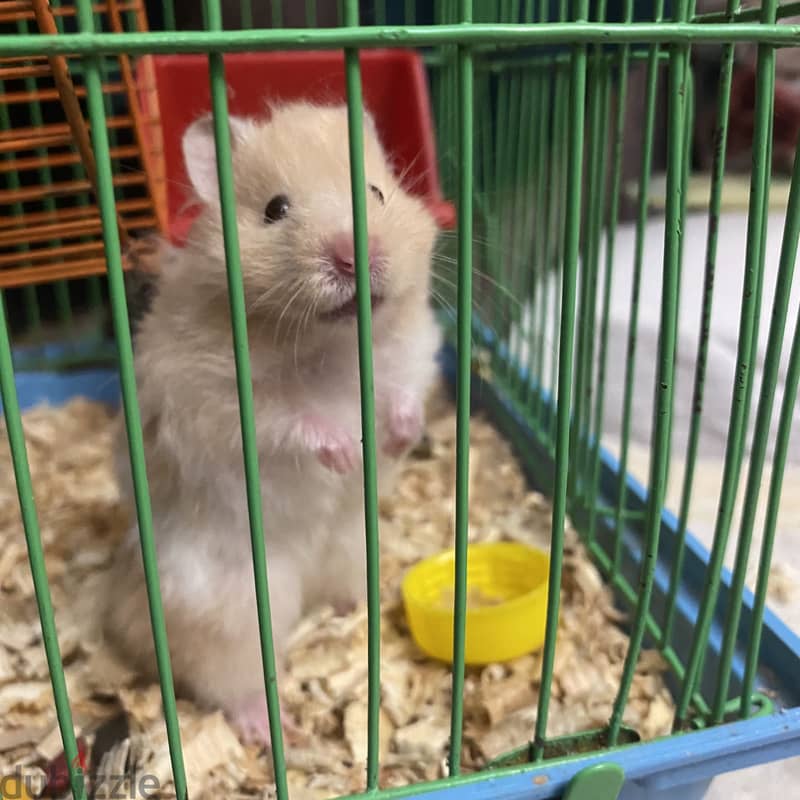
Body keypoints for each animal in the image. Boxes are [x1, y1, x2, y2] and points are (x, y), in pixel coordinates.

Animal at [103, 102, 442, 746]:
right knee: (222, 676)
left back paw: (357, 611)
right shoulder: (214, 398)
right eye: (274, 210)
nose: (354, 254)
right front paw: (346, 451)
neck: (330, 343)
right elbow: (290, 419)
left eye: (377, 192)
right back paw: (266, 725)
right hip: (233, 609)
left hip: (353, 547)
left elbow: (405, 389)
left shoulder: (409, 348)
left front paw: (395, 438)